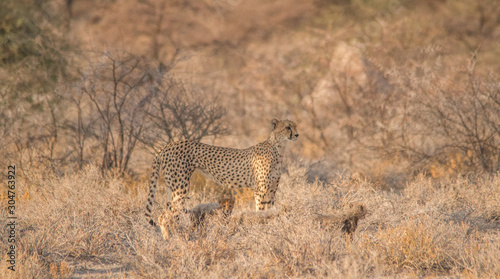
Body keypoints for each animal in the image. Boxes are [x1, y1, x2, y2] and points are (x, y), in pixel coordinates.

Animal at [146, 119, 298, 231]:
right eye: (287, 127)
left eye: (295, 126)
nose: (297, 135)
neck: (278, 147)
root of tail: (168, 145)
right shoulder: (260, 190)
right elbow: (260, 210)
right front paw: (261, 227)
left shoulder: (272, 189)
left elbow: (270, 210)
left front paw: (271, 226)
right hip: (180, 186)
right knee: (173, 212)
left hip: (171, 186)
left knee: (165, 214)